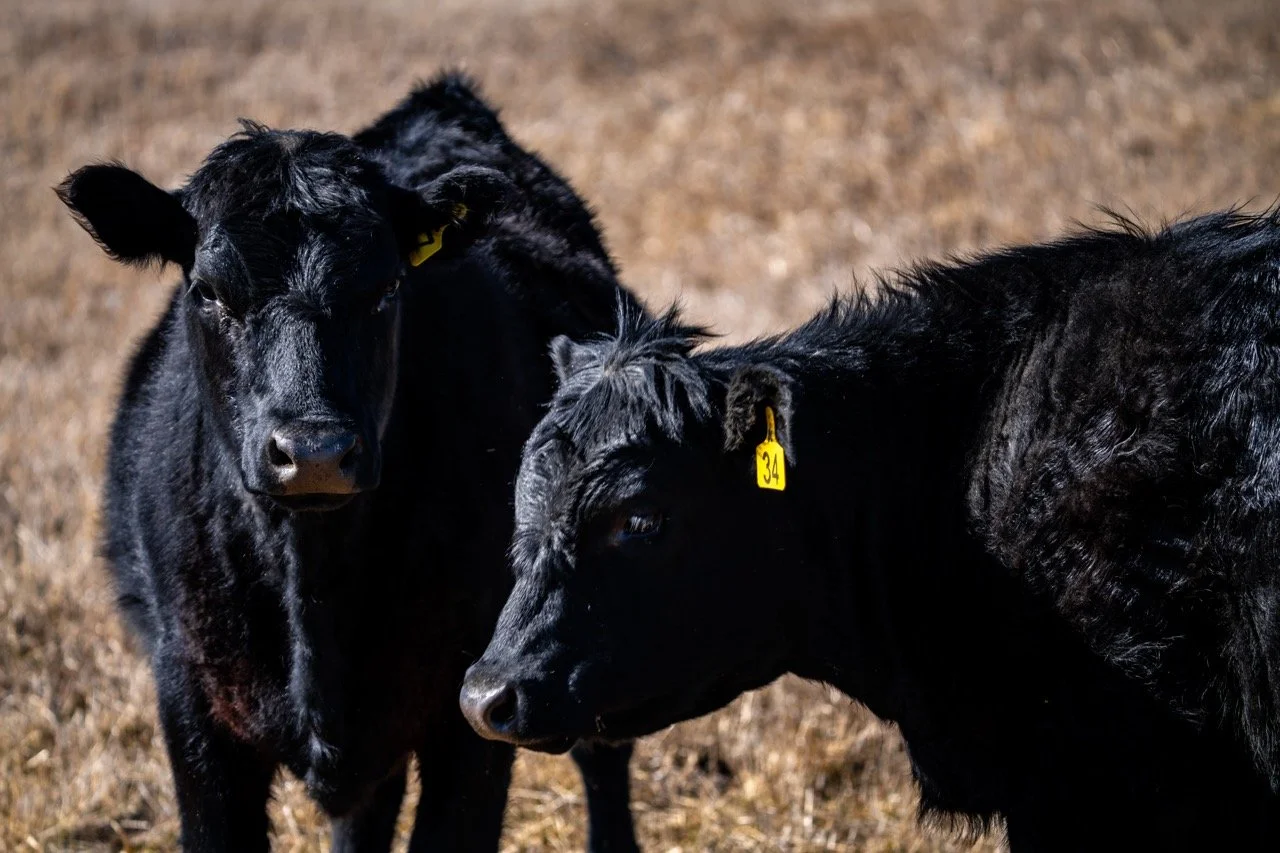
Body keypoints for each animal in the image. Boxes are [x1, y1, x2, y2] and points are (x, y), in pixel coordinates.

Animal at [57, 73, 641, 853]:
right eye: (208, 290)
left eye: (387, 287)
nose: (314, 453)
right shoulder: (191, 702)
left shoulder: (478, 706)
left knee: (604, 757)